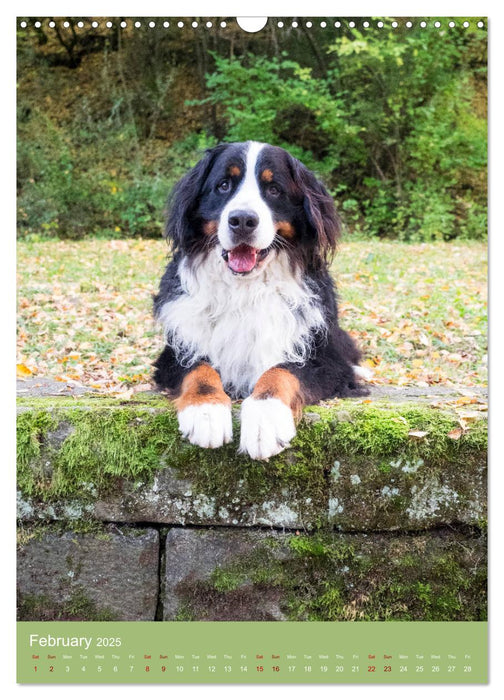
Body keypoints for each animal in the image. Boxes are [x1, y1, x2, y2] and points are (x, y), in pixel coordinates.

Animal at [152, 141, 368, 460]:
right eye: (223, 185)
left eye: (274, 189)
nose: (242, 220)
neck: (245, 289)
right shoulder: (176, 351)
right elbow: (199, 370)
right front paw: (206, 414)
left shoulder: (324, 359)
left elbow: (282, 371)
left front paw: (265, 420)